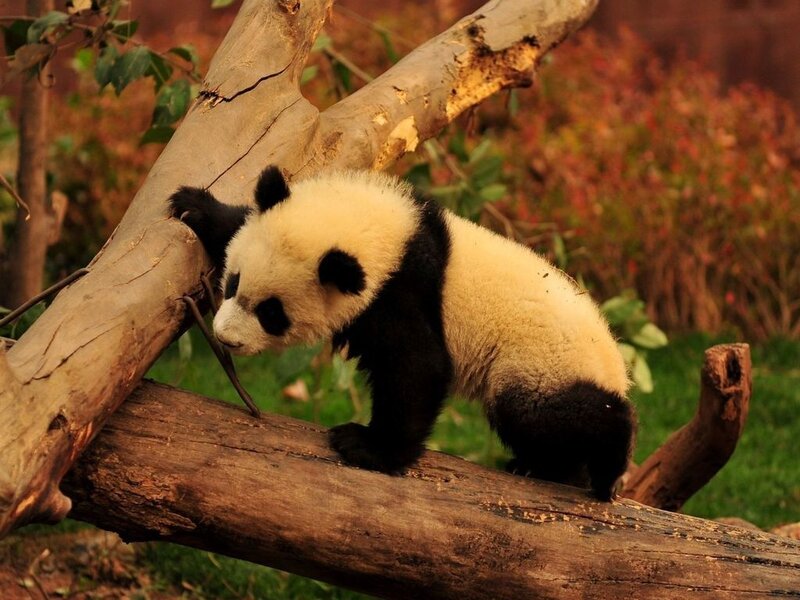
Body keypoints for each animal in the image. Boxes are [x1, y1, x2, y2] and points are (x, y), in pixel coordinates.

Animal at [169, 165, 636, 500]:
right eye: (233, 283)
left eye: (272, 313)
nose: (226, 337)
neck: (388, 233)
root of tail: (616, 367)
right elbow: (237, 222)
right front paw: (194, 206)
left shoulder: (400, 291)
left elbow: (417, 367)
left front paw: (367, 446)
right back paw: (545, 468)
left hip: (540, 363)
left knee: (543, 413)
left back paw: (605, 465)